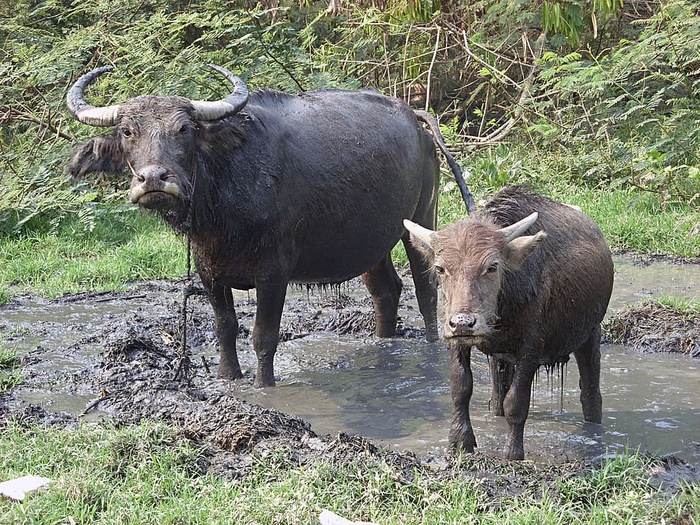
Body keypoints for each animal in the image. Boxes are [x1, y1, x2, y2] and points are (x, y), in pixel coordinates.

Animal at [67, 65, 470, 386]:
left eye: (183, 129)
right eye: (127, 132)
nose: (153, 179)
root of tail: (413, 116)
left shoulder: (274, 271)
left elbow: (264, 335)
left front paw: (264, 384)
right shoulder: (209, 272)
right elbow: (225, 328)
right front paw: (228, 376)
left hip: (421, 219)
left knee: (425, 289)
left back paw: (431, 345)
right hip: (370, 241)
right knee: (385, 291)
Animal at [404, 186, 612, 456]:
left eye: (492, 266)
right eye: (440, 268)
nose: (463, 322)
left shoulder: (531, 349)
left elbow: (517, 402)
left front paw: (513, 452)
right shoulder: (456, 340)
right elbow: (461, 388)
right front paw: (460, 441)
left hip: (590, 334)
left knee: (590, 393)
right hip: (501, 358)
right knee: (497, 397)